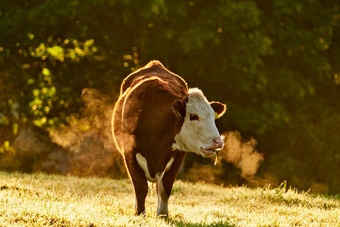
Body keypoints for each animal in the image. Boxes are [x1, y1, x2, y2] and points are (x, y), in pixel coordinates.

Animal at [111, 61, 227, 217]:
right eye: (193, 116)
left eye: (213, 116)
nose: (218, 141)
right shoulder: (129, 152)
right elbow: (140, 187)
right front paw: (140, 213)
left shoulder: (178, 155)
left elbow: (165, 188)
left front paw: (162, 214)